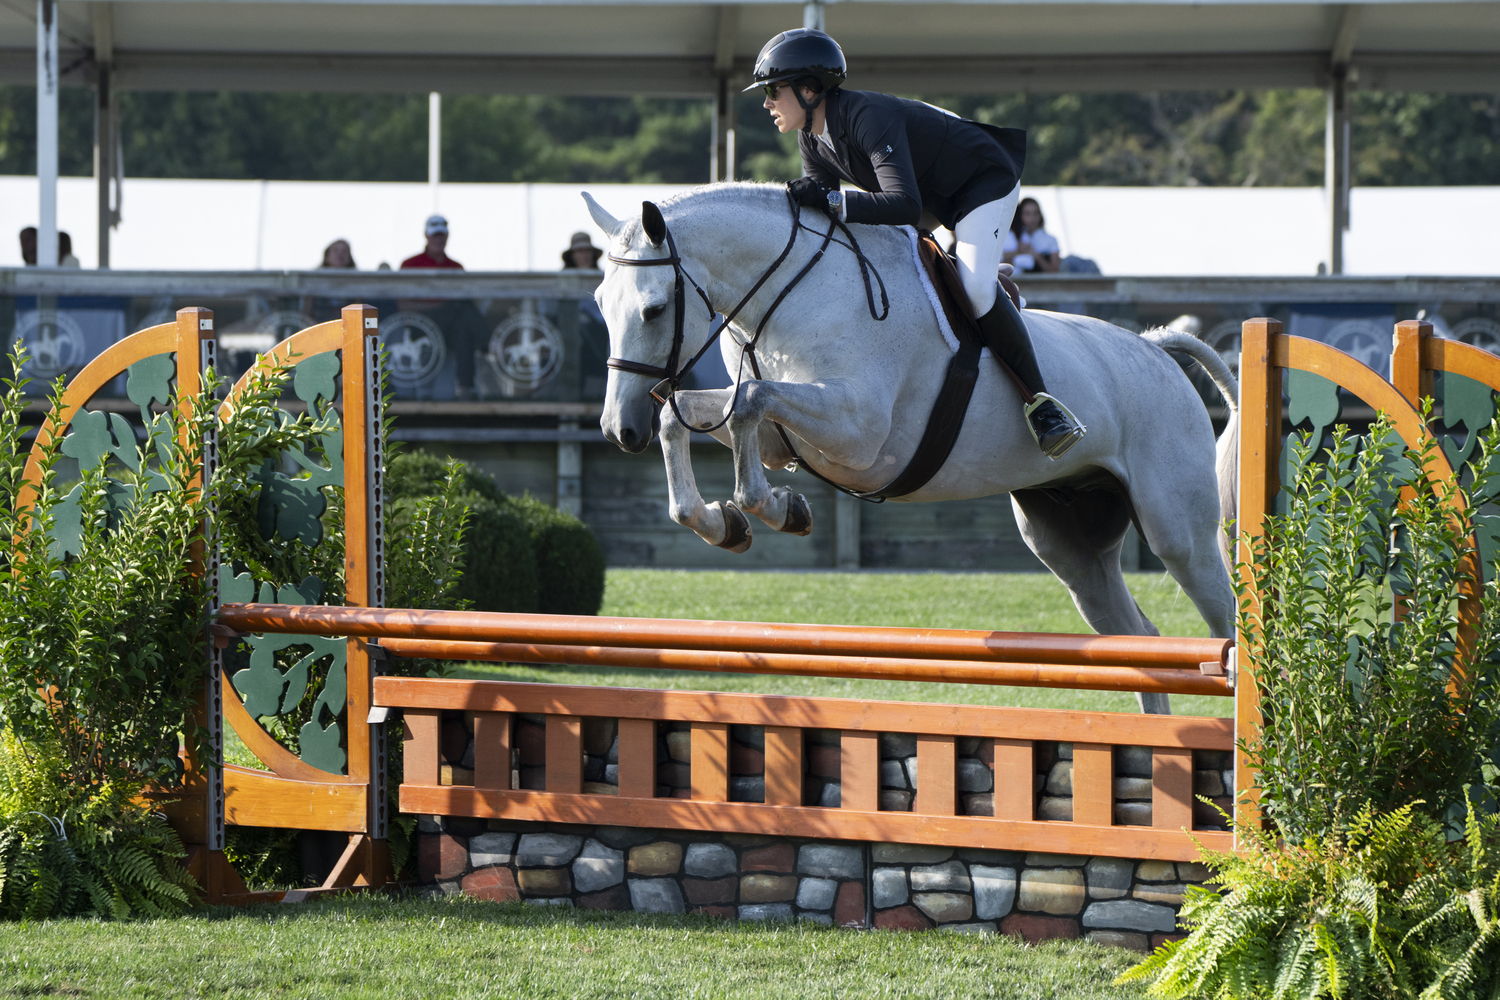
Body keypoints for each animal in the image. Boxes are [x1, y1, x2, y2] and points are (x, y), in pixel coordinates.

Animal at [585, 179, 1242, 710]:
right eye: (599, 305)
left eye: (654, 308)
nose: (620, 430)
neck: (797, 295)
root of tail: (1156, 348)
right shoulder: (781, 434)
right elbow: (696, 416)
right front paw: (726, 522)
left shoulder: (858, 434)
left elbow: (750, 399)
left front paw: (769, 508)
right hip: (1070, 544)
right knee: (1141, 641)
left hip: (1177, 530)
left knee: (1226, 621)